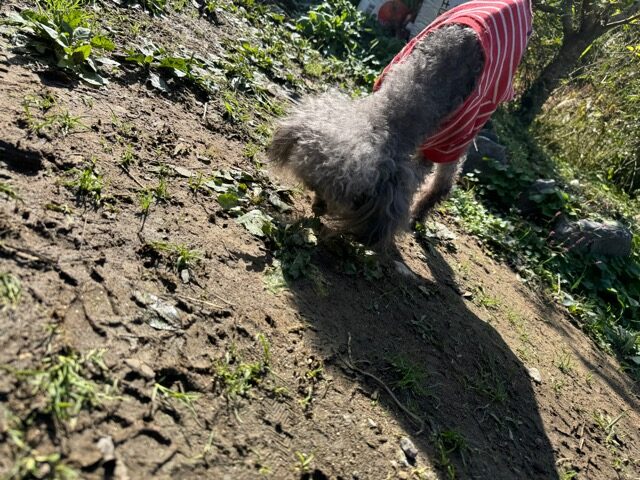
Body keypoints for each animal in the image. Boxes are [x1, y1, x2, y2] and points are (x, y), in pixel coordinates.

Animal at [268, 0, 533, 247]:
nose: (318, 208)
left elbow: (427, 176)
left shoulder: (449, 142)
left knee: (445, 179)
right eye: (313, 186)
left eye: (351, 199)